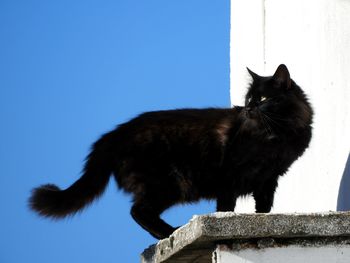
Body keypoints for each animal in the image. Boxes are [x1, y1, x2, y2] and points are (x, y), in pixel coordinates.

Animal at [28, 65, 314, 240]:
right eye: (248, 99)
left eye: (263, 99)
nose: (248, 109)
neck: (277, 136)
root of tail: (114, 133)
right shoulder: (229, 177)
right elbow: (226, 206)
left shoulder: (269, 178)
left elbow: (264, 206)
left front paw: (263, 222)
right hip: (169, 184)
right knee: (138, 211)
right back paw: (170, 233)